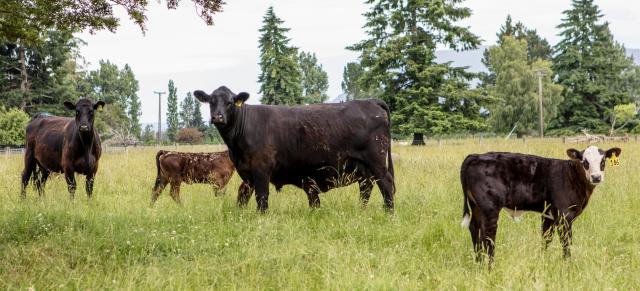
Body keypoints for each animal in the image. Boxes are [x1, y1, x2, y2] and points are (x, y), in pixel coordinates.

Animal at [194, 86, 396, 212]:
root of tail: (371, 101)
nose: (218, 117)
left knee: (386, 184)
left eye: (230, 102)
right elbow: (243, 196)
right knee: (366, 187)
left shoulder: (261, 169)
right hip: (362, 168)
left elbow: (262, 196)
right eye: (211, 102)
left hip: (376, 161)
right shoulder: (247, 172)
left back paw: (389, 213)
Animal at [462, 147, 624, 262]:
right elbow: (566, 241)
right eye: (585, 162)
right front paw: (568, 264)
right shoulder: (564, 215)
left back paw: (478, 261)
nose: (596, 177)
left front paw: (543, 260)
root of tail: (475, 155)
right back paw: (490, 265)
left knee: (474, 228)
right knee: (487, 234)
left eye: (603, 161)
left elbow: (546, 238)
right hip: (490, 208)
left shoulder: (549, 214)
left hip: (476, 206)